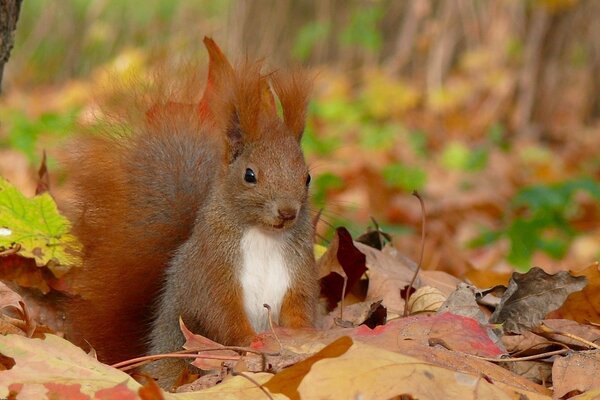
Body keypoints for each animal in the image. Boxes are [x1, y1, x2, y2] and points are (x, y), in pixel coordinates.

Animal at [62, 38, 318, 388]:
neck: (264, 234)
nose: (288, 212)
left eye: (307, 177)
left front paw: (304, 338)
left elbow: (300, 308)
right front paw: (252, 343)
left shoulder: (299, 270)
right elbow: (222, 314)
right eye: (250, 175)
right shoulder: (212, 270)